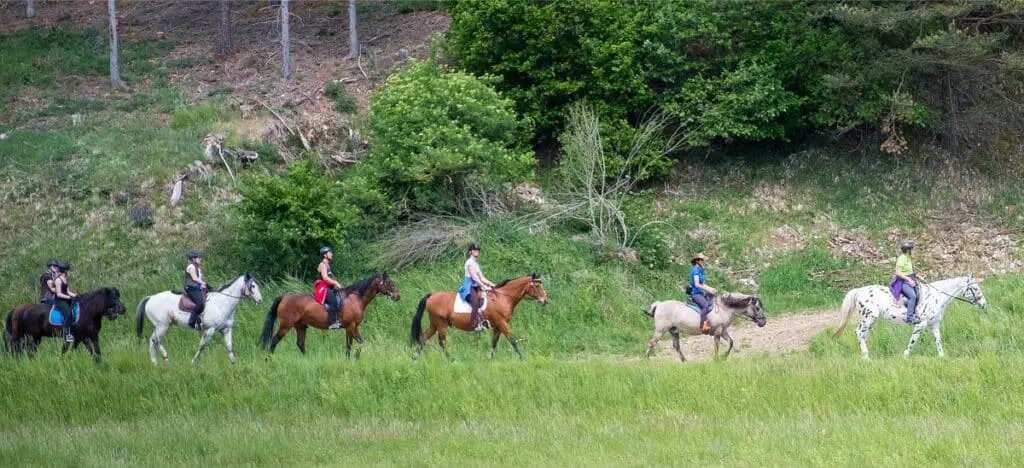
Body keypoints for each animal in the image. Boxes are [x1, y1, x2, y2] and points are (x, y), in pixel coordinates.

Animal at [135, 274, 264, 364]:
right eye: (253, 286)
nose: (260, 301)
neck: (223, 302)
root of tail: (150, 298)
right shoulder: (209, 330)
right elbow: (202, 346)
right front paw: (193, 362)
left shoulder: (226, 329)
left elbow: (229, 347)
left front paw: (233, 364)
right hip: (163, 325)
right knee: (156, 340)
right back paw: (165, 356)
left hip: (159, 326)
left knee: (152, 341)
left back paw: (155, 363)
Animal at [258, 270, 397, 358]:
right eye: (389, 283)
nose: (397, 296)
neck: (355, 299)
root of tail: (284, 298)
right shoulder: (350, 326)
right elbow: (350, 345)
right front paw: (349, 359)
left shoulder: (353, 327)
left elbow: (361, 343)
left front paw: (356, 357)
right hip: (285, 326)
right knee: (274, 342)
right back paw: (268, 360)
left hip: (300, 326)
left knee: (300, 344)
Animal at [409, 272, 548, 358]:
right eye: (537, 285)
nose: (545, 300)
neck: (502, 298)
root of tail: (431, 296)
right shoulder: (502, 323)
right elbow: (513, 341)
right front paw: (522, 359)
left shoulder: (498, 326)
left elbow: (494, 343)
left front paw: (490, 359)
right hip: (441, 323)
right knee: (442, 342)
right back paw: (452, 360)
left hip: (435, 324)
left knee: (423, 339)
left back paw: (414, 359)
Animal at [835, 272, 987, 358]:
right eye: (974, 288)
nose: (984, 304)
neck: (936, 297)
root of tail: (859, 291)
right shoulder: (921, 324)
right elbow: (913, 340)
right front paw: (905, 356)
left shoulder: (934, 324)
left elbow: (938, 341)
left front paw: (942, 357)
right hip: (868, 319)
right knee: (858, 332)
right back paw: (866, 355)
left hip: (870, 321)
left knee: (862, 335)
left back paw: (864, 355)